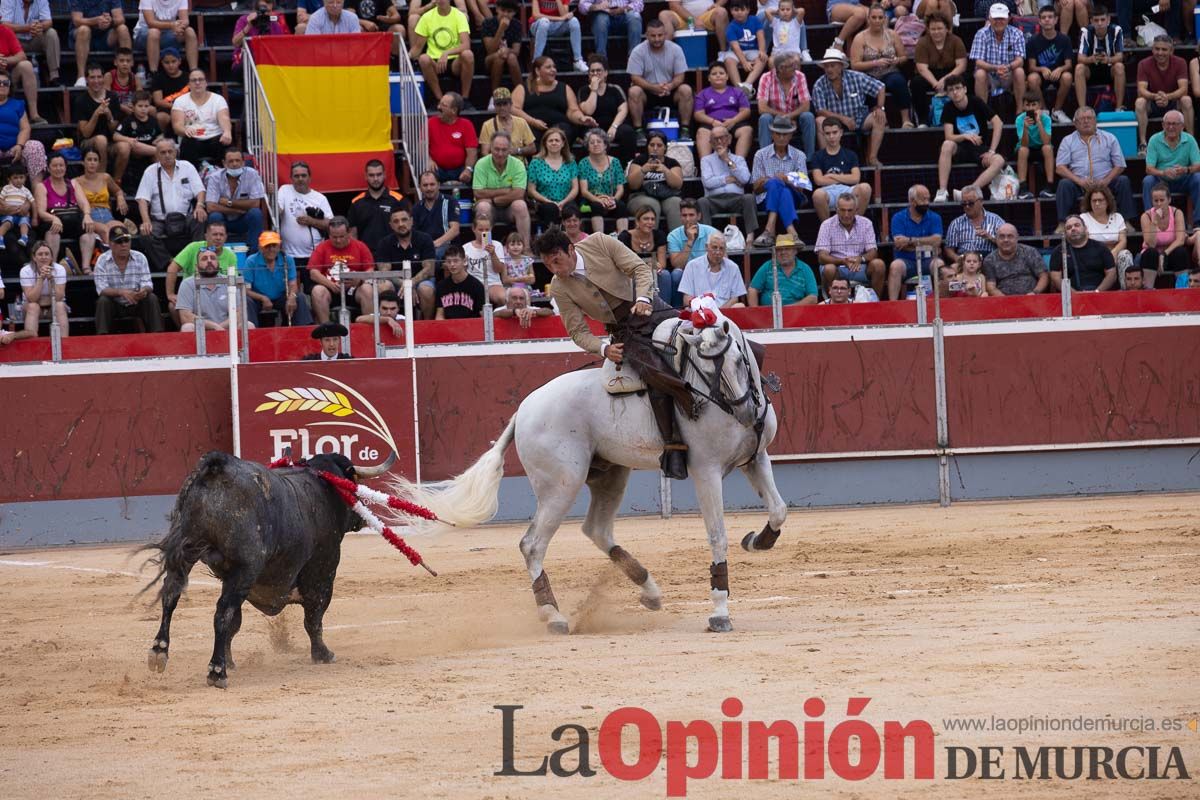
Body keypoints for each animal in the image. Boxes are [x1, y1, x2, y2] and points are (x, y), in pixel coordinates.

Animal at [142, 450, 391, 690]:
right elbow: (314, 617)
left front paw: (230, 661)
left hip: (186, 552)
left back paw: (159, 651)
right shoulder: (323, 571)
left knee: (171, 595)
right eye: (352, 482)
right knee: (222, 613)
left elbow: (236, 624)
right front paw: (323, 654)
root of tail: (217, 468)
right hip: (245, 568)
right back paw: (216, 671)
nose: (361, 518)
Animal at [388, 316, 792, 633]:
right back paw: (554, 616)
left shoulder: (756, 459)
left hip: (611, 474)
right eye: (703, 367)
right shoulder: (705, 471)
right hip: (562, 485)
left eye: (739, 359)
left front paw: (756, 540)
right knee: (533, 544)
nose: (745, 413)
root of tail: (524, 409)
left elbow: (779, 509)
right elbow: (717, 536)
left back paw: (650, 591)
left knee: (596, 529)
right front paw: (720, 612)